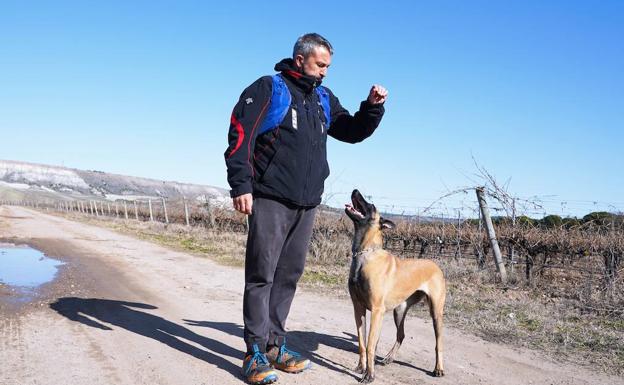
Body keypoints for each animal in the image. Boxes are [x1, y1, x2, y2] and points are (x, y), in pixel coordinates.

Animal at [344, 189, 446, 380]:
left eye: (371, 205)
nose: (355, 190)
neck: (365, 255)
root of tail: (436, 265)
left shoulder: (377, 311)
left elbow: (370, 345)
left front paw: (369, 375)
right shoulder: (358, 308)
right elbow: (362, 342)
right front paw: (361, 367)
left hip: (436, 312)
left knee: (438, 342)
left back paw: (438, 369)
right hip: (399, 311)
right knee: (401, 335)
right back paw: (389, 358)